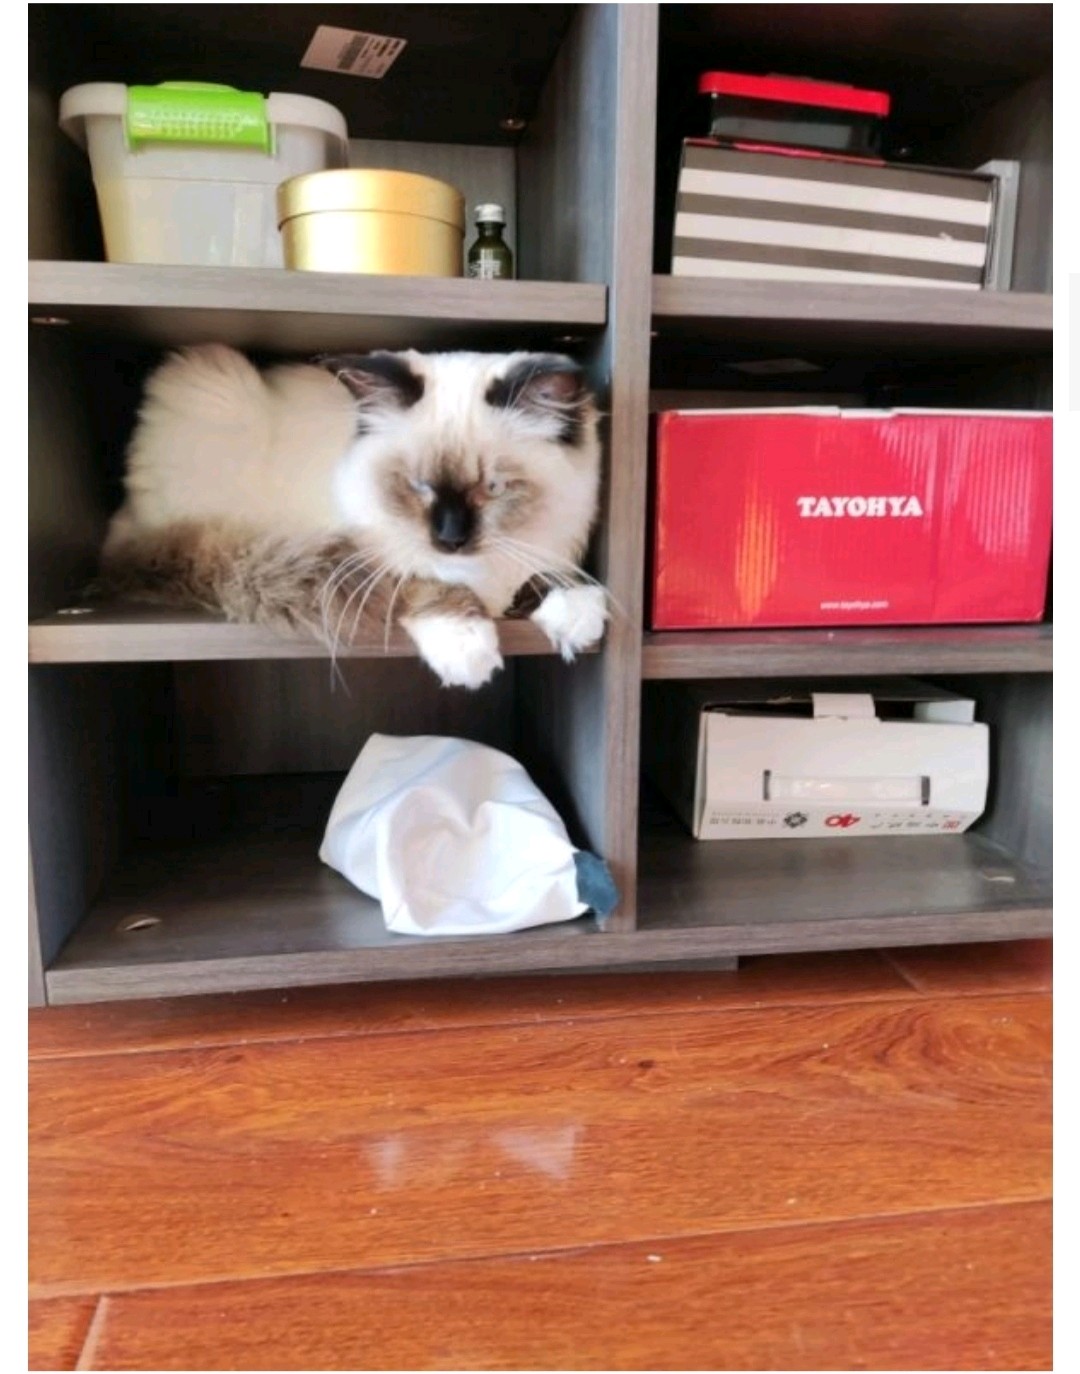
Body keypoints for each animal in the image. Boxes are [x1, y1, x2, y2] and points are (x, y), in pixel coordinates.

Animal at [99, 344, 609, 688]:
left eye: (494, 488)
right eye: (418, 487)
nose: (449, 540)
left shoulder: (538, 549)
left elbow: (546, 576)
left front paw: (578, 615)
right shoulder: (365, 557)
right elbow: (426, 585)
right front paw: (468, 647)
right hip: (211, 382)